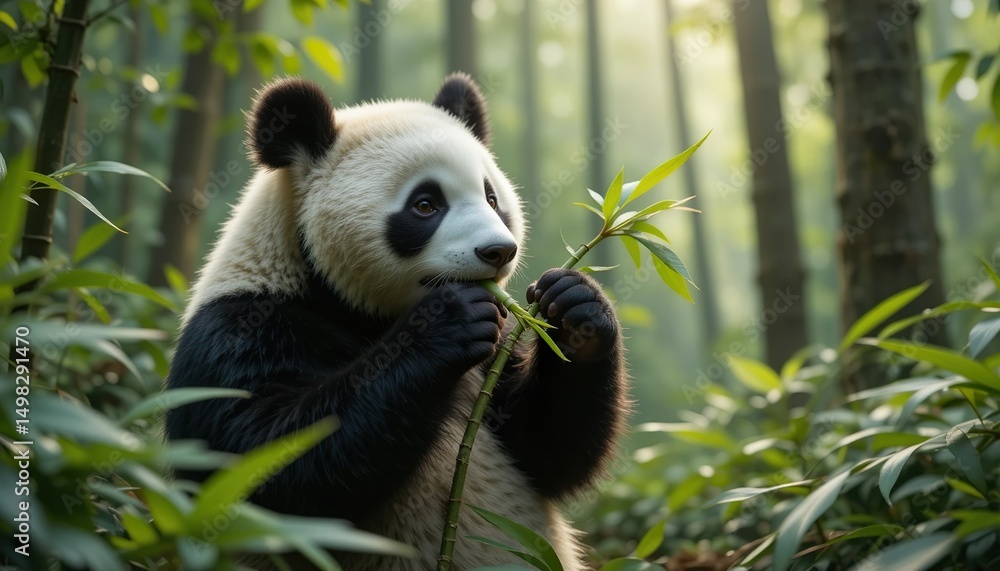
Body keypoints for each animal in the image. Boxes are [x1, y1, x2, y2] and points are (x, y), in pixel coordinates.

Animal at [166, 74, 629, 570]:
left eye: (491, 197)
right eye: (425, 204)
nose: (499, 251)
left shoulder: (495, 357)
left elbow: (545, 452)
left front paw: (575, 306)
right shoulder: (240, 330)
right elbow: (265, 468)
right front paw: (447, 320)